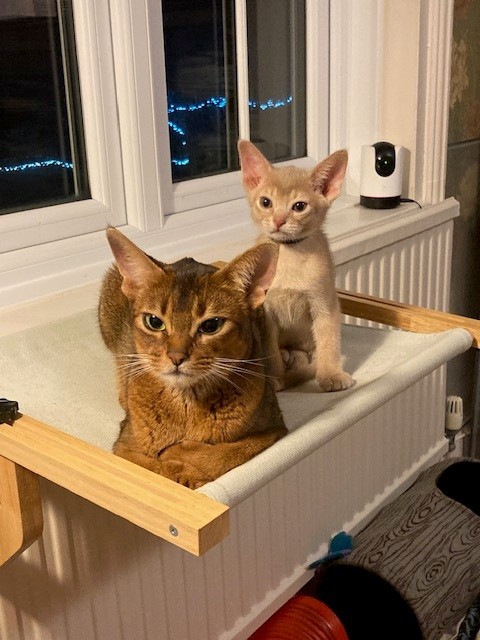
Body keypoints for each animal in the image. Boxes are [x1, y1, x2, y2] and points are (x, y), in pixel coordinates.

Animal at [98, 227, 287, 489]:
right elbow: (156, 473)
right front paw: (181, 470)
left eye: (211, 325)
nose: (176, 357)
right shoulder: (124, 448)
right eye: (154, 322)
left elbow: (230, 452)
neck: (186, 403)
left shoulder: (273, 428)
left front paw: (179, 455)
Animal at [238, 140, 354, 392]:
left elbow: (329, 341)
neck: (288, 253)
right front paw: (274, 378)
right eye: (265, 202)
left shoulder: (325, 304)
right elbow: (269, 350)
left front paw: (331, 374)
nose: (279, 221)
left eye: (299, 206)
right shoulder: (266, 314)